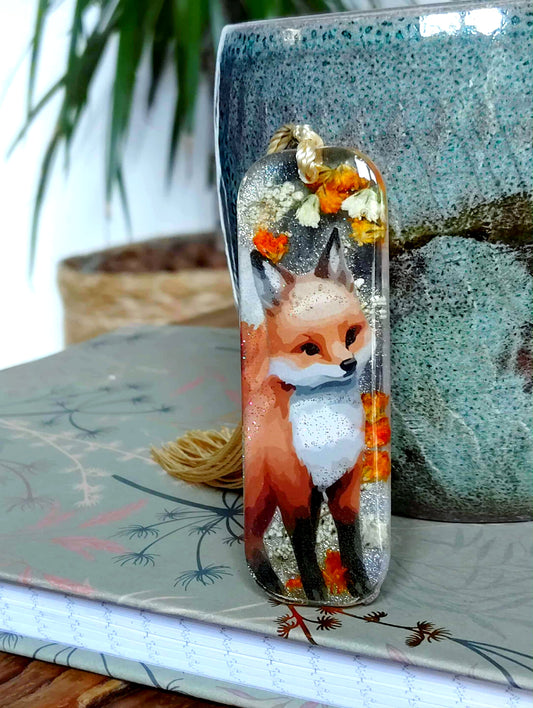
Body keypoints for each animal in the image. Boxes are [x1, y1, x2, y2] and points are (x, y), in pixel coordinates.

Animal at [242, 228, 373, 602]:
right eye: (310, 349)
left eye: (351, 335)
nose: (348, 364)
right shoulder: (295, 489)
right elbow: (302, 544)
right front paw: (315, 590)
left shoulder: (343, 482)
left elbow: (349, 537)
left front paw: (358, 581)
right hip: (260, 496)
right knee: (253, 539)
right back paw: (270, 581)